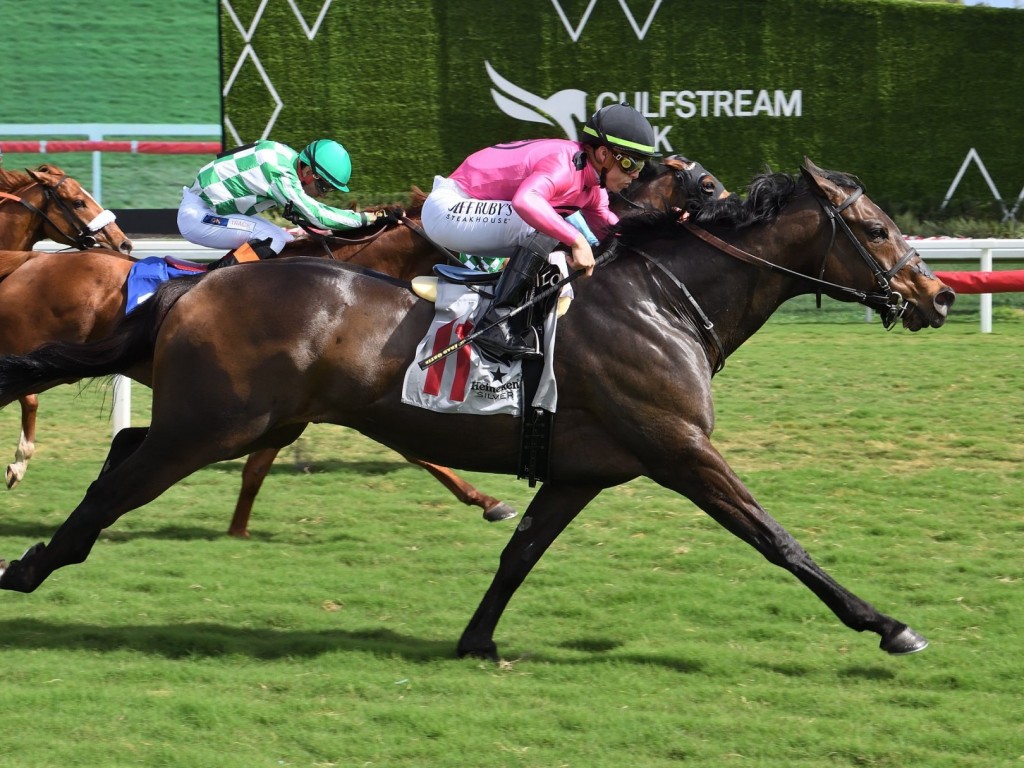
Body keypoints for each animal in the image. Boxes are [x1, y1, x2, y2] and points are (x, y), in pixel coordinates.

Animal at [0, 157, 950, 663]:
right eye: (875, 227)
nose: (938, 294)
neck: (664, 303)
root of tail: (194, 287)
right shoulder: (681, 450)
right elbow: (777, 539)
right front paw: (888, 625)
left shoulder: (584, 470)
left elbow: (519, 552)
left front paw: (476, 640)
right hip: (215, 422)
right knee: (122, 478)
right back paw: (31, 565)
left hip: (236, 417)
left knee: (126, 446)